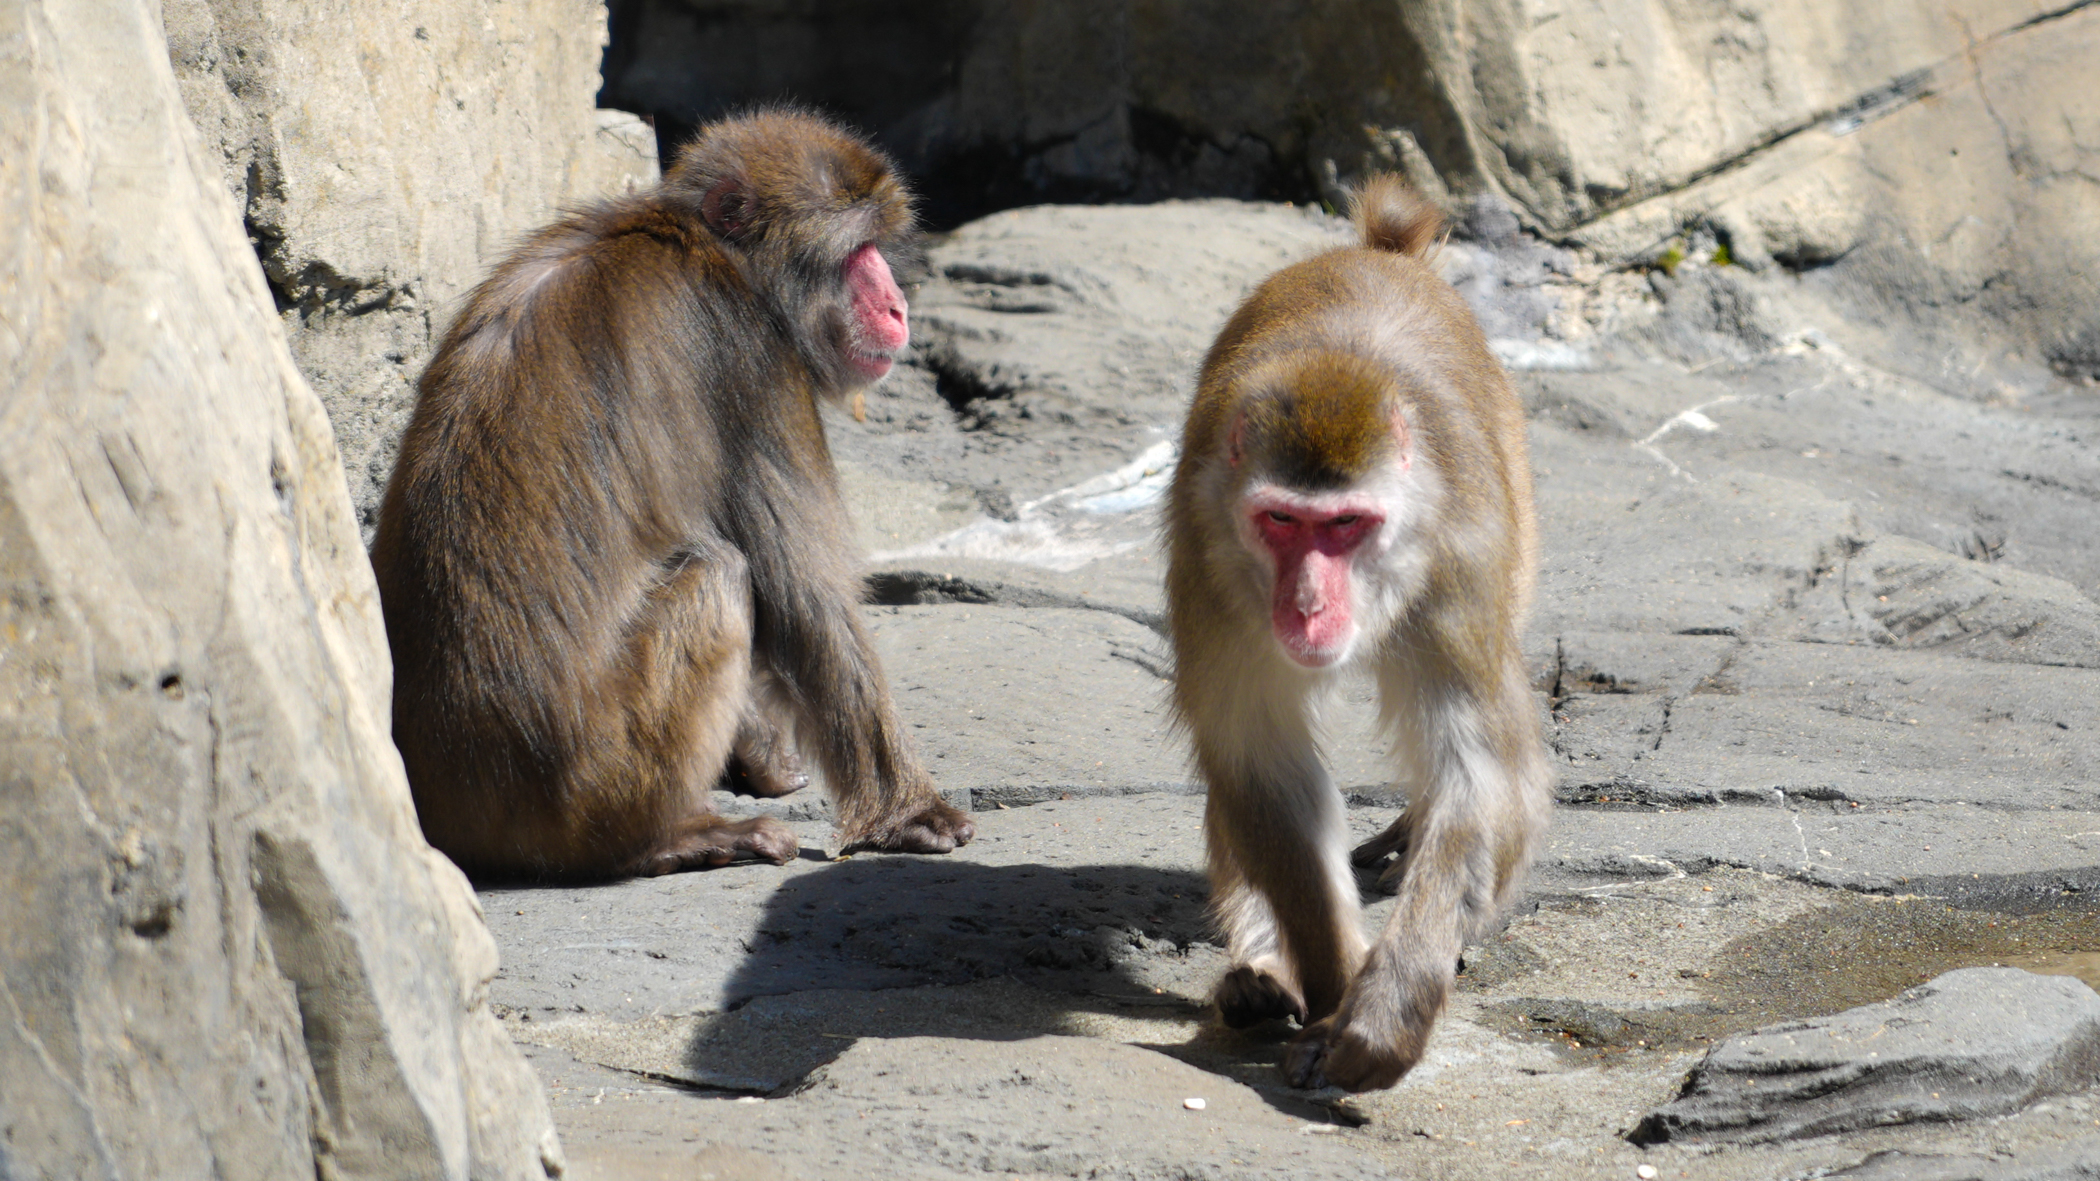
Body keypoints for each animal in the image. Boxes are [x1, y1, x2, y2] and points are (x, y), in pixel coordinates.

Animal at [369, 108, 975, 881]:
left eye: (877, 247)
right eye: (856, 252)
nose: (897, 308)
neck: (705, 247)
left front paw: (767, 756)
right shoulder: (752, 360)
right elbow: (807, 603)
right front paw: (911, 813)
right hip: (594, 775)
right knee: (720, 575)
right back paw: (668, 836)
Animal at [1163, 174, 1552, 1091]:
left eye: (1345, 526)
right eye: (1281, 521)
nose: (1307, 604)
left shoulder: (1459, 564)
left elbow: (1482, 769)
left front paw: (1391, 999)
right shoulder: (1207, 563)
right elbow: (1258, 758)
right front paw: (1333, 987)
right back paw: (1259, 972)